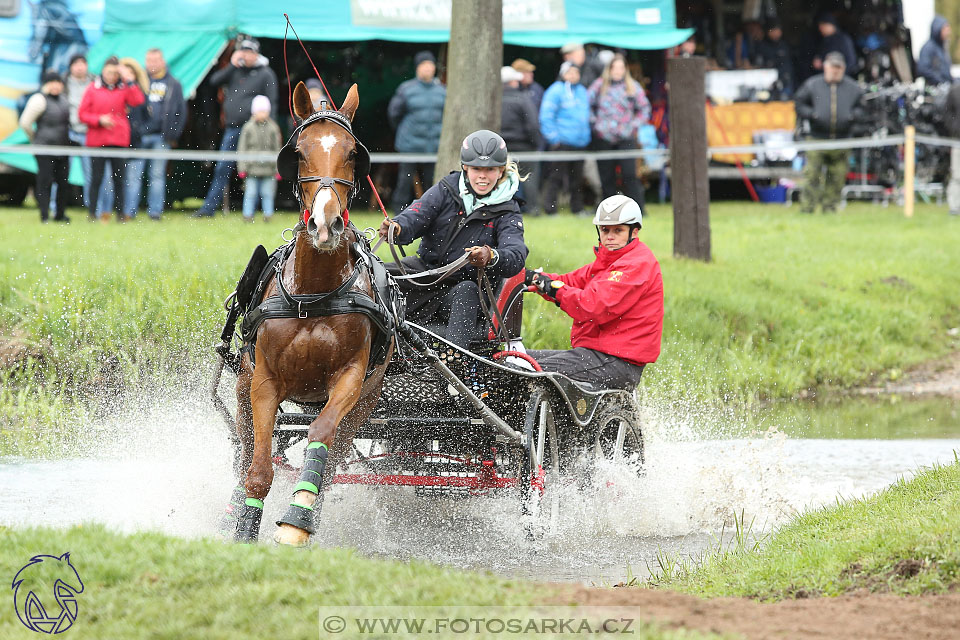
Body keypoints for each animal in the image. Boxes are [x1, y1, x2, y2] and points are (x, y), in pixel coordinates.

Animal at [231, 81, 392, 544]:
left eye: (353, 153)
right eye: (298, 153)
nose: (325, 224)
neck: (314, 295)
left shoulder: (352, 380)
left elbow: (321, 433)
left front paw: (297, 519)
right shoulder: (264, 381)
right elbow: (259, 469)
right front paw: (245, 530)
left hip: (365, 406)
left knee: (334, 460)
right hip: (242, 387)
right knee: (244, 452)